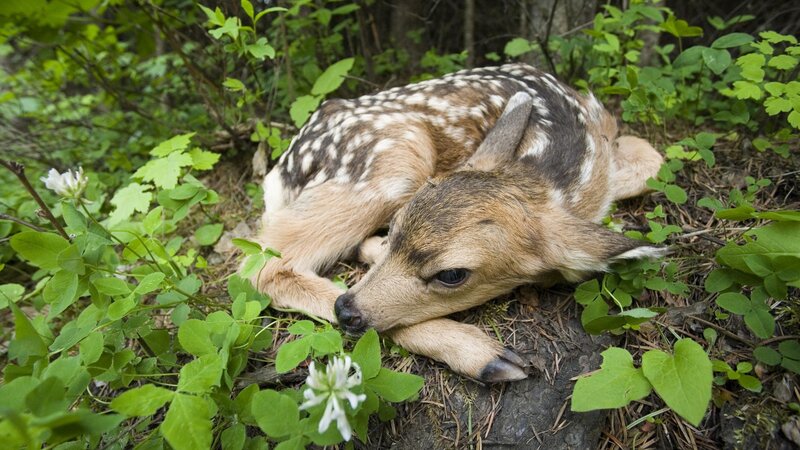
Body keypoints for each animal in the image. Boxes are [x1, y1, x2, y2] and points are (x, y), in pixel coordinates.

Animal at [251, 63, 665, 383]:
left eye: (452, 275)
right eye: (396, 226)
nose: (347, 311)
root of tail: (279, 174)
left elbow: (652, 160)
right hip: (398, 154)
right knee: (264, 268)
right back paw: (487, 356)